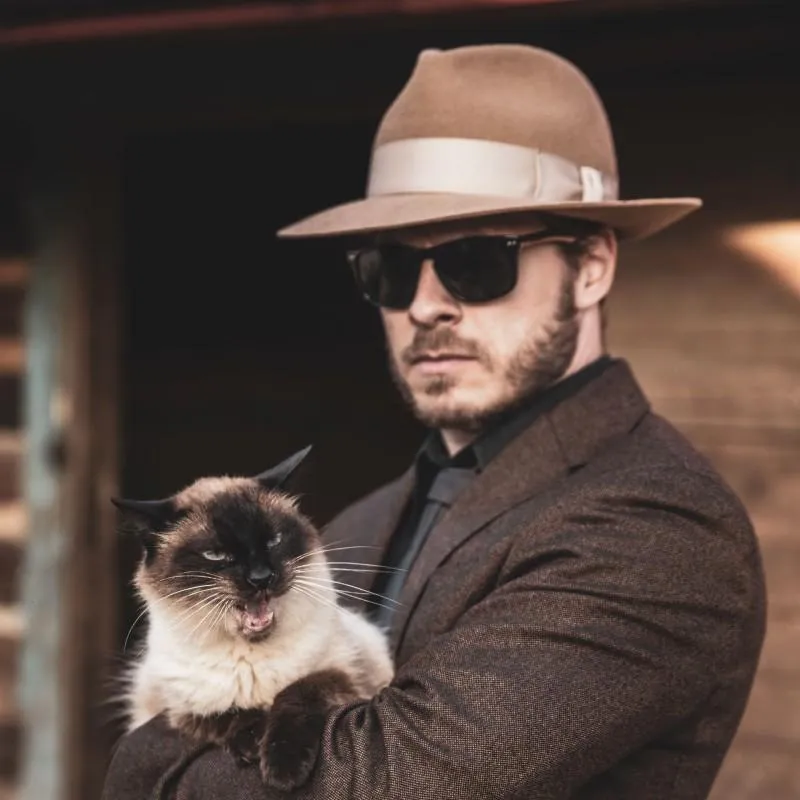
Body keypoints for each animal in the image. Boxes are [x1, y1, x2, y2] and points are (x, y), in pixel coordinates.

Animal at [114, 446, 396, 792]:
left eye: (273, 540)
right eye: (216, 555)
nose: (261, 578)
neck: (250, 656)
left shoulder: (346, 676)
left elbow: (298, 692)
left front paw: (283, 770)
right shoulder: (179, 707)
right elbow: (226, 712)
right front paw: (252, 742)